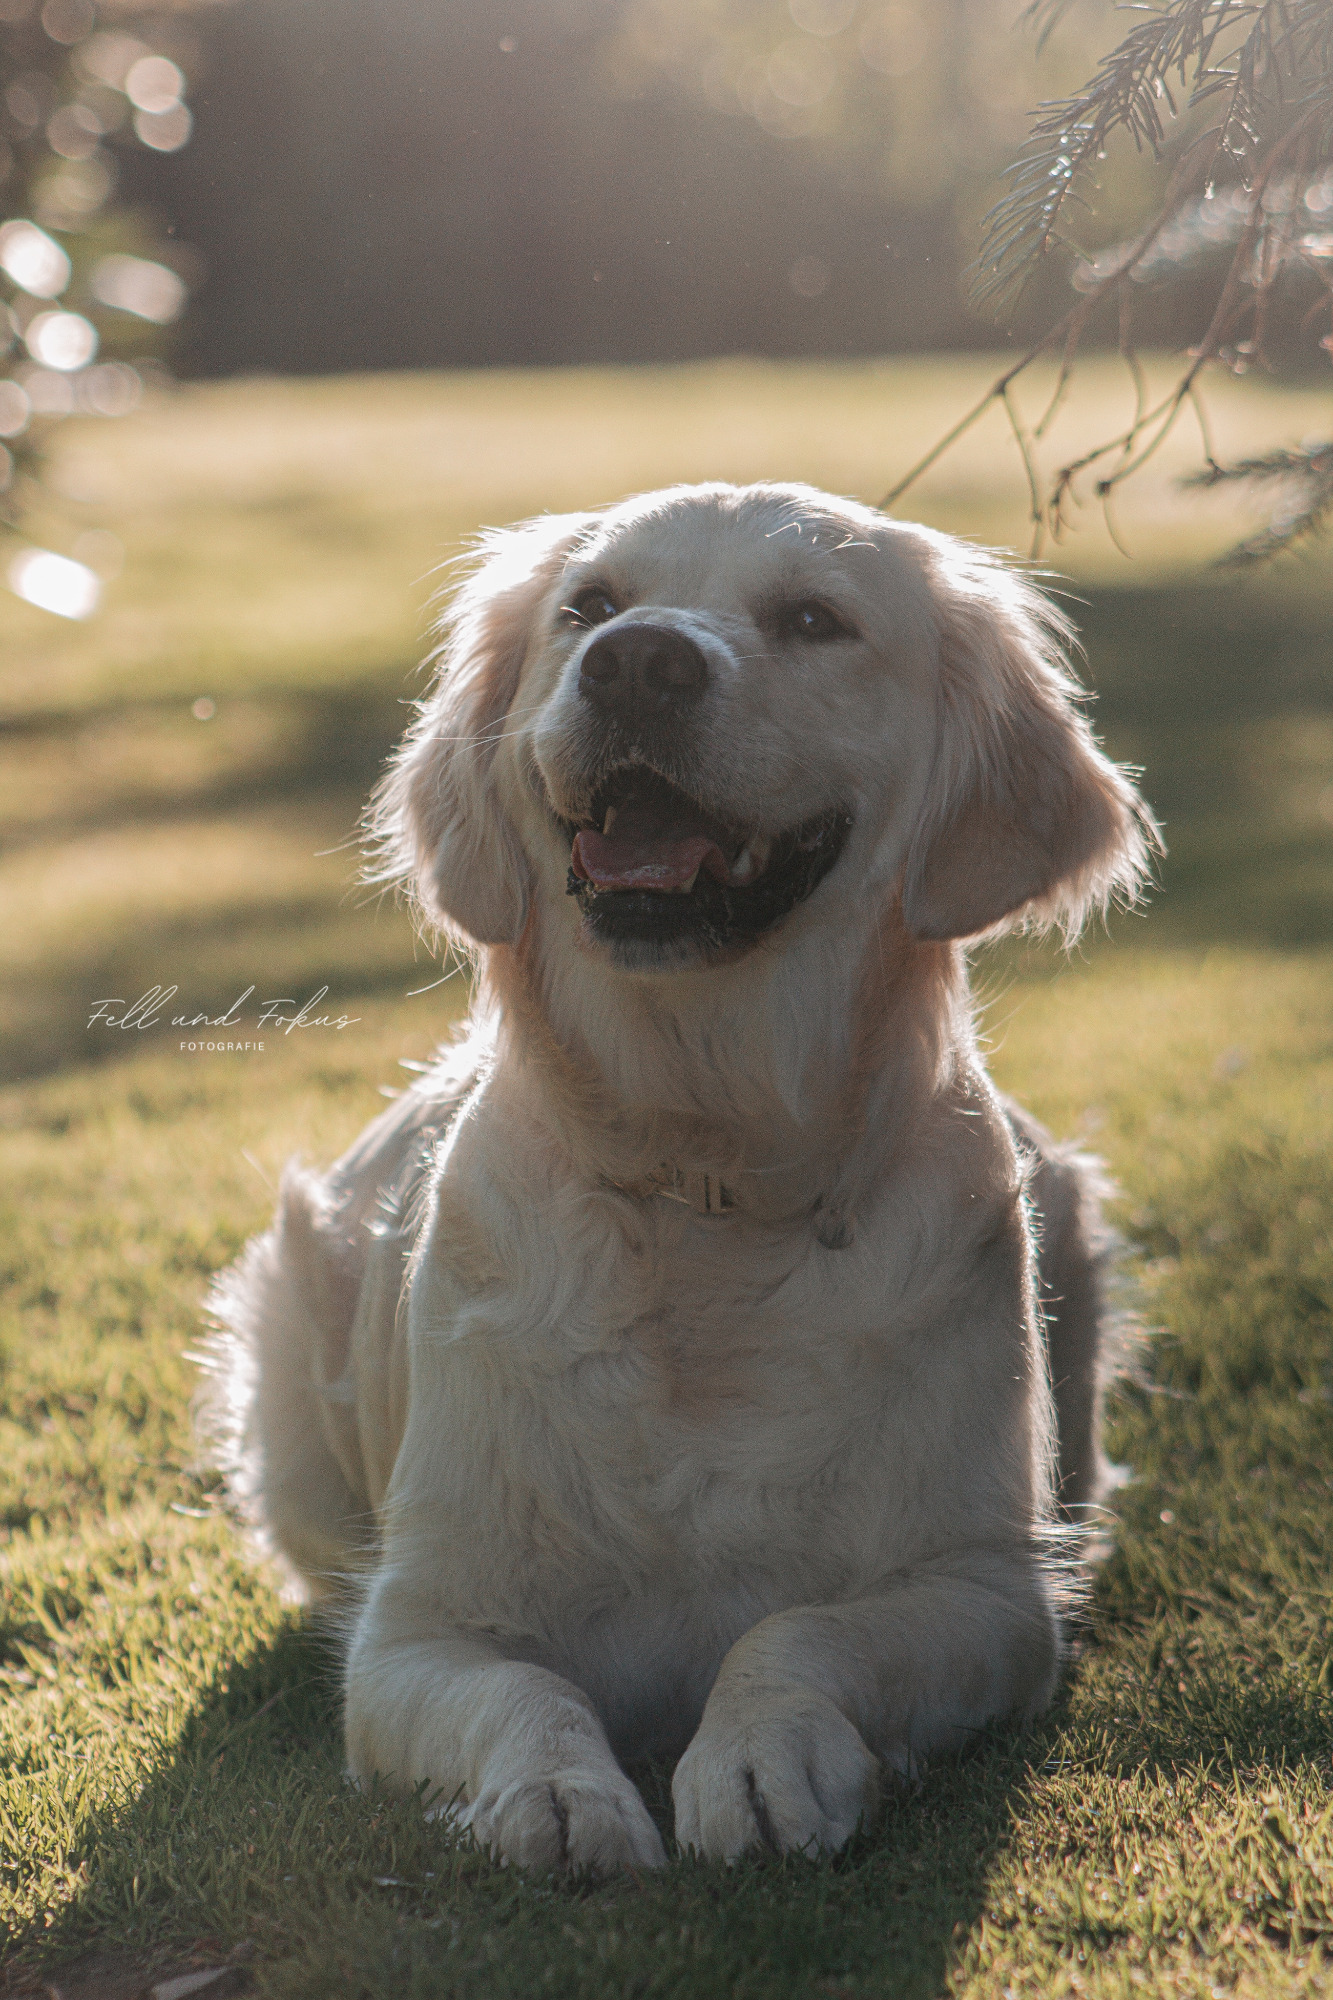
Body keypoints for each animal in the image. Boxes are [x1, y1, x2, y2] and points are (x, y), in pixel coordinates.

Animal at [208, 481, 1156, 1875]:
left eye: (814, 619)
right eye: (587, 606)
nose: (638, 662)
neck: (704, 1175)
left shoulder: (984, 1593)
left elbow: (796, 1630)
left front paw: (759, 1755)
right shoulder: (415, 1630)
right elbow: (523, 1687)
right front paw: (557, 1792)